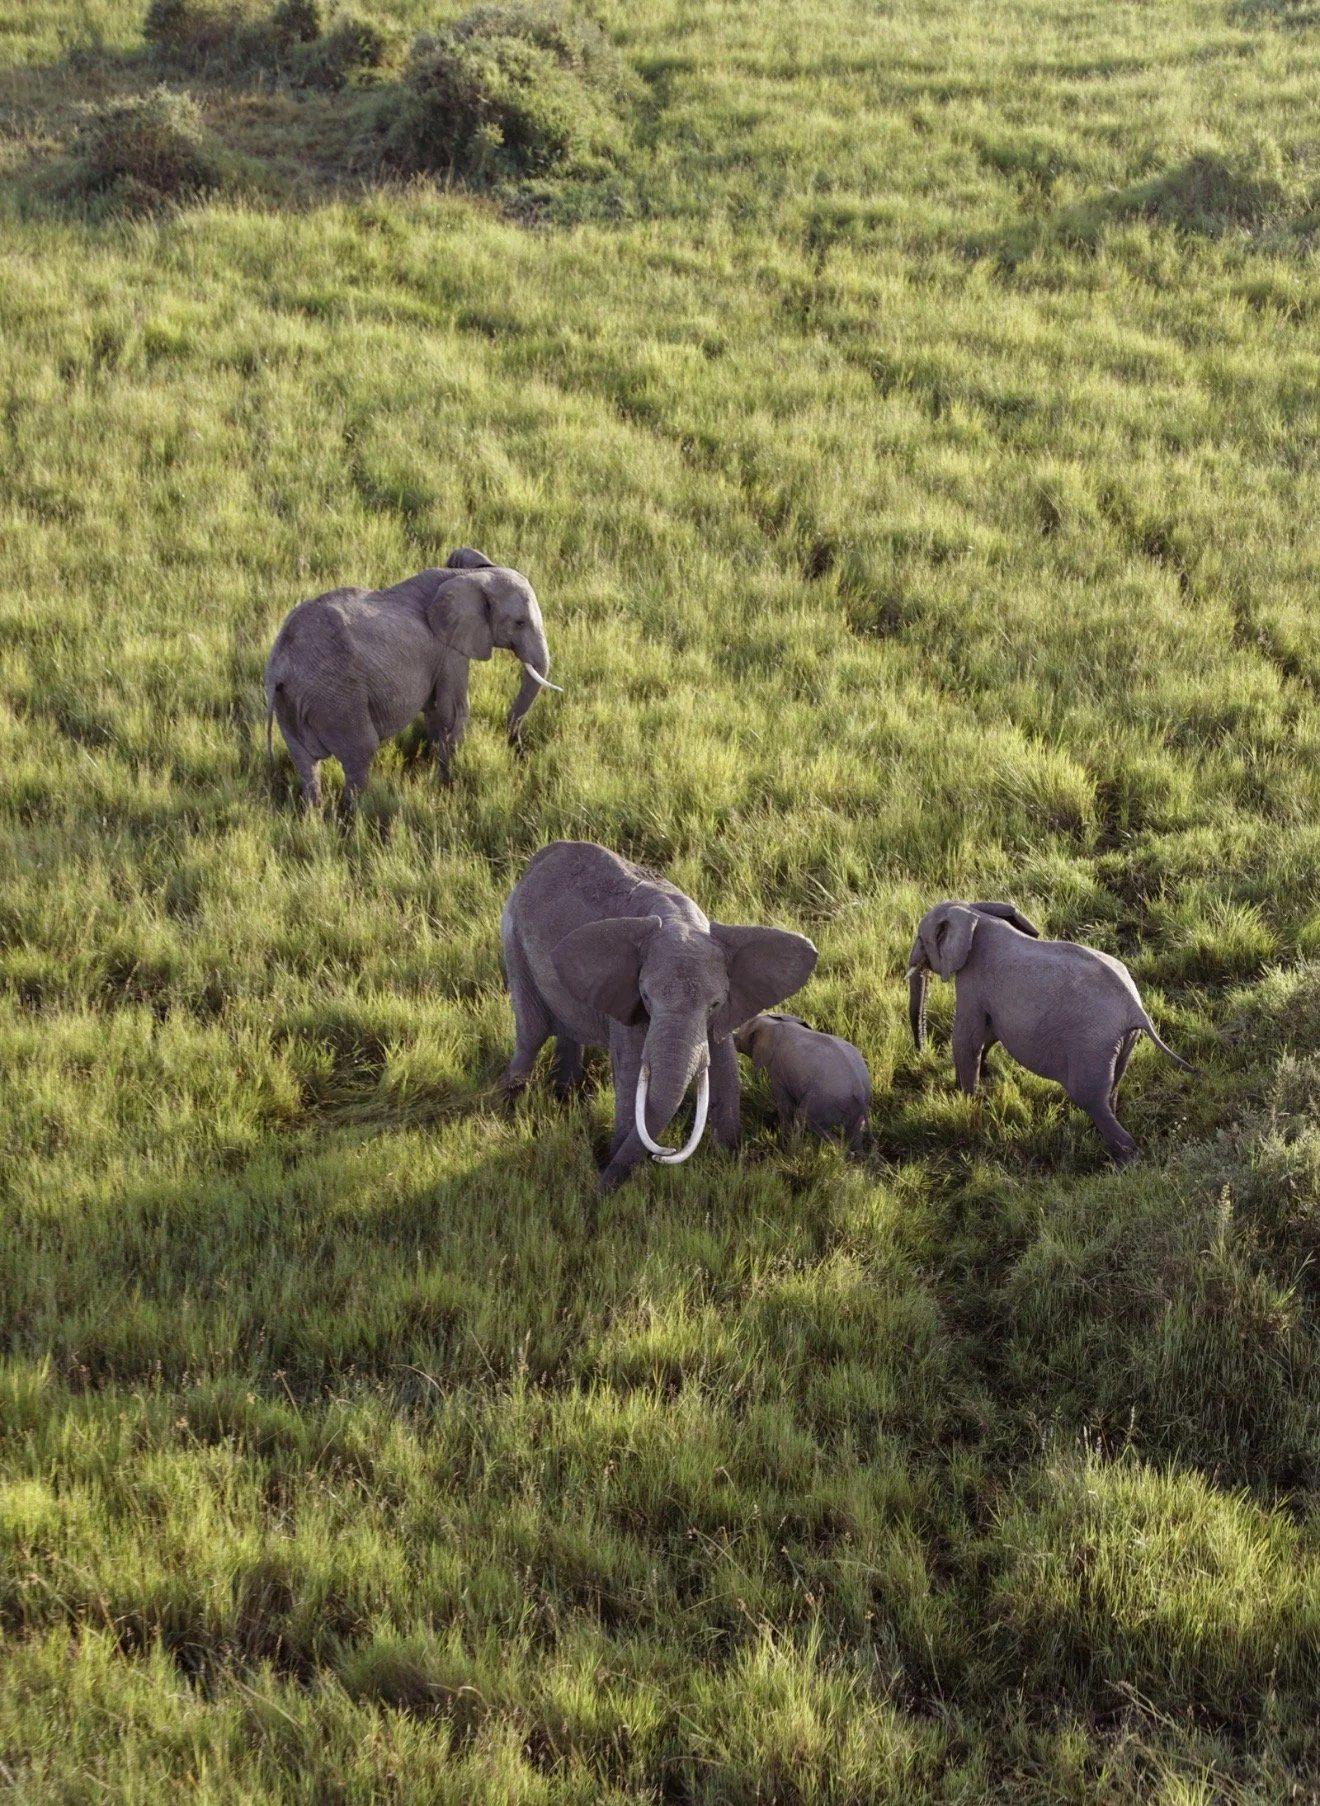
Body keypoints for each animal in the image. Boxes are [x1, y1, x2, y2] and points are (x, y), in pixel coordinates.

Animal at [264, 547, 560, 815]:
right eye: (520, 623)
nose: (520, 754)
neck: (468, 575)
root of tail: (280, 666)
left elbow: (436, 713)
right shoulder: (450, 649)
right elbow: (454, 712)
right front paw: (445, 788)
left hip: (291, 705)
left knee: (306, 764)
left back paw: (313, 819)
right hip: (337, 700)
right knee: (360, 754)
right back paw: (351, 820)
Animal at [501, 841, 818, 1192]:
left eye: (715, 1004)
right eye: (646, 998)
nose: (597, 1189)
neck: (680, 921)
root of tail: (540, 858)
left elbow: (726, 1069)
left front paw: (729, 1162)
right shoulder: (627, 999)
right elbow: (630, 1071)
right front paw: (616, 1165)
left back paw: (564, 1095)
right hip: (513, 940)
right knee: (531, 1033)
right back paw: (513, 1103)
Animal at [734, 1013, 871, 1155]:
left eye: (740, 1036)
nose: (732, 1036)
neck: (776, 1023)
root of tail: (859, 1089)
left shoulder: (778, 1069)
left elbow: (785, 1104)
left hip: (825, 1101)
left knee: (806, 1117)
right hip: (855, 1104)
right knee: (855, 1131)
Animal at [906, 899, 1195, 1164]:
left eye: (921, 939)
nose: (921, 1053)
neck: (975, 913)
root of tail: (1135, 1009)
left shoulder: (972, 983)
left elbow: (967, 1039)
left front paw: (967, 1101)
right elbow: (988, 1035)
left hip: (1092, 1046)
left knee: (1091, 1099)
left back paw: (1122, 1164)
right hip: (1123, 1043)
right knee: (1109, 1094)